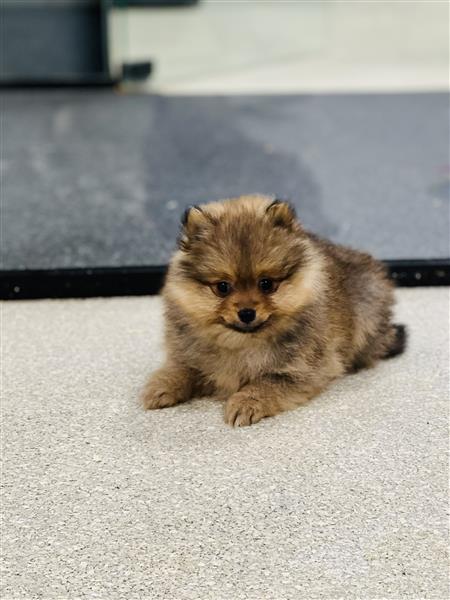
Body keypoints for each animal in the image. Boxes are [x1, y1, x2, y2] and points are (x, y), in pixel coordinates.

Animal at [142, 195, 406, 424]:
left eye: (266, 284)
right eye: (223, 287)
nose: (246, 313)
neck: (242, 343)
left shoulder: (302, 370)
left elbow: (266, 383)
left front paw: (245, 403)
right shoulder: (188, 353)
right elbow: (183, 368)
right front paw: (162, 386)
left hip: (366, 305)